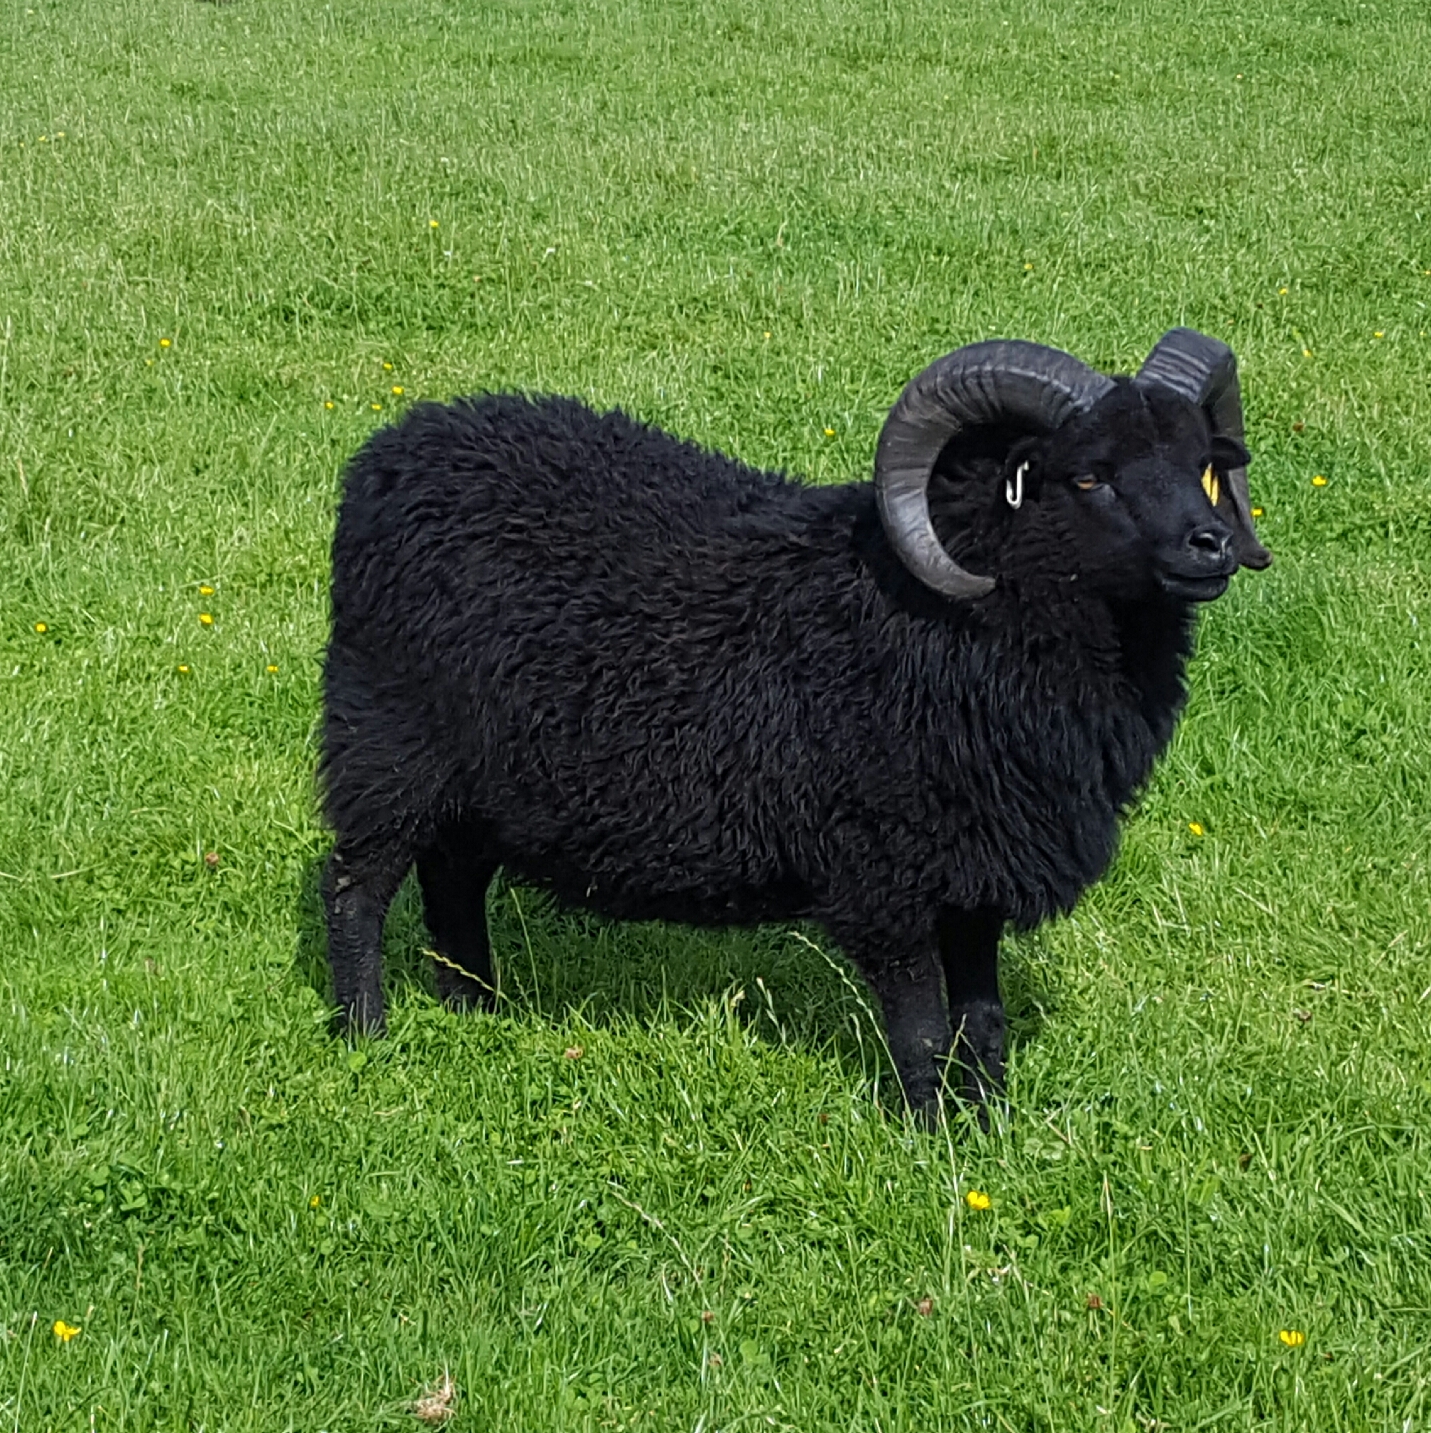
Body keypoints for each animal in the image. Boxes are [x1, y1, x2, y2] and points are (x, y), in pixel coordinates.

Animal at [320, 328, 1271, 1120]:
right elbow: (922, 1025)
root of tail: (398, 446)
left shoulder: (974, 867)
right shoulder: (885, 873)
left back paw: (476, 1006)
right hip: (384, 739)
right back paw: (364, 1032)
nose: (1213, 546)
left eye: (1204, 463)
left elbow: (983, 1017)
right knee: (356, 887)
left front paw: (990, 1124)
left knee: (451, 876)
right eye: (1088, 475)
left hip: (483, 777)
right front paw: (929, 1136)